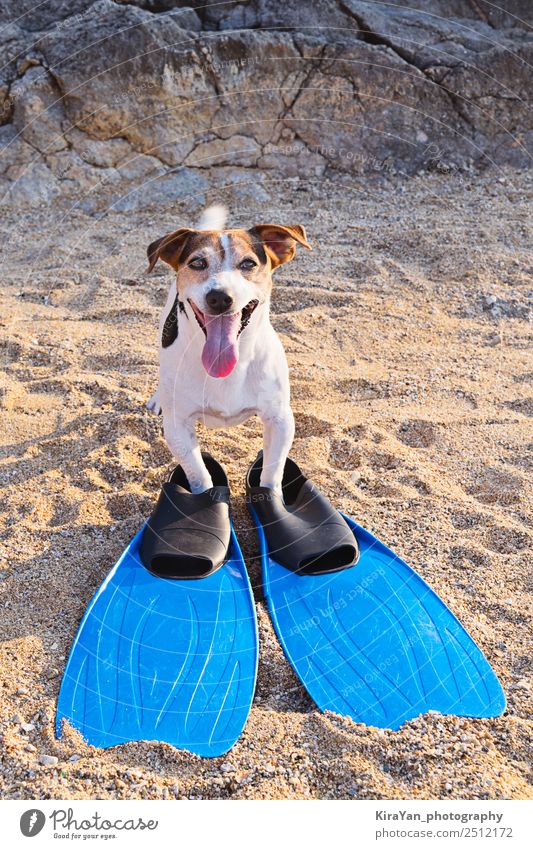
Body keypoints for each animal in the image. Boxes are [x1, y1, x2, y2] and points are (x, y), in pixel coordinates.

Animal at [147, 205, 312, 494]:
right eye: (197, 263)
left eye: (248, 264)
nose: (220, 297)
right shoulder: (178, 426)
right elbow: (200, 475)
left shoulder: (280, 420)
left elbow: (271, 473)